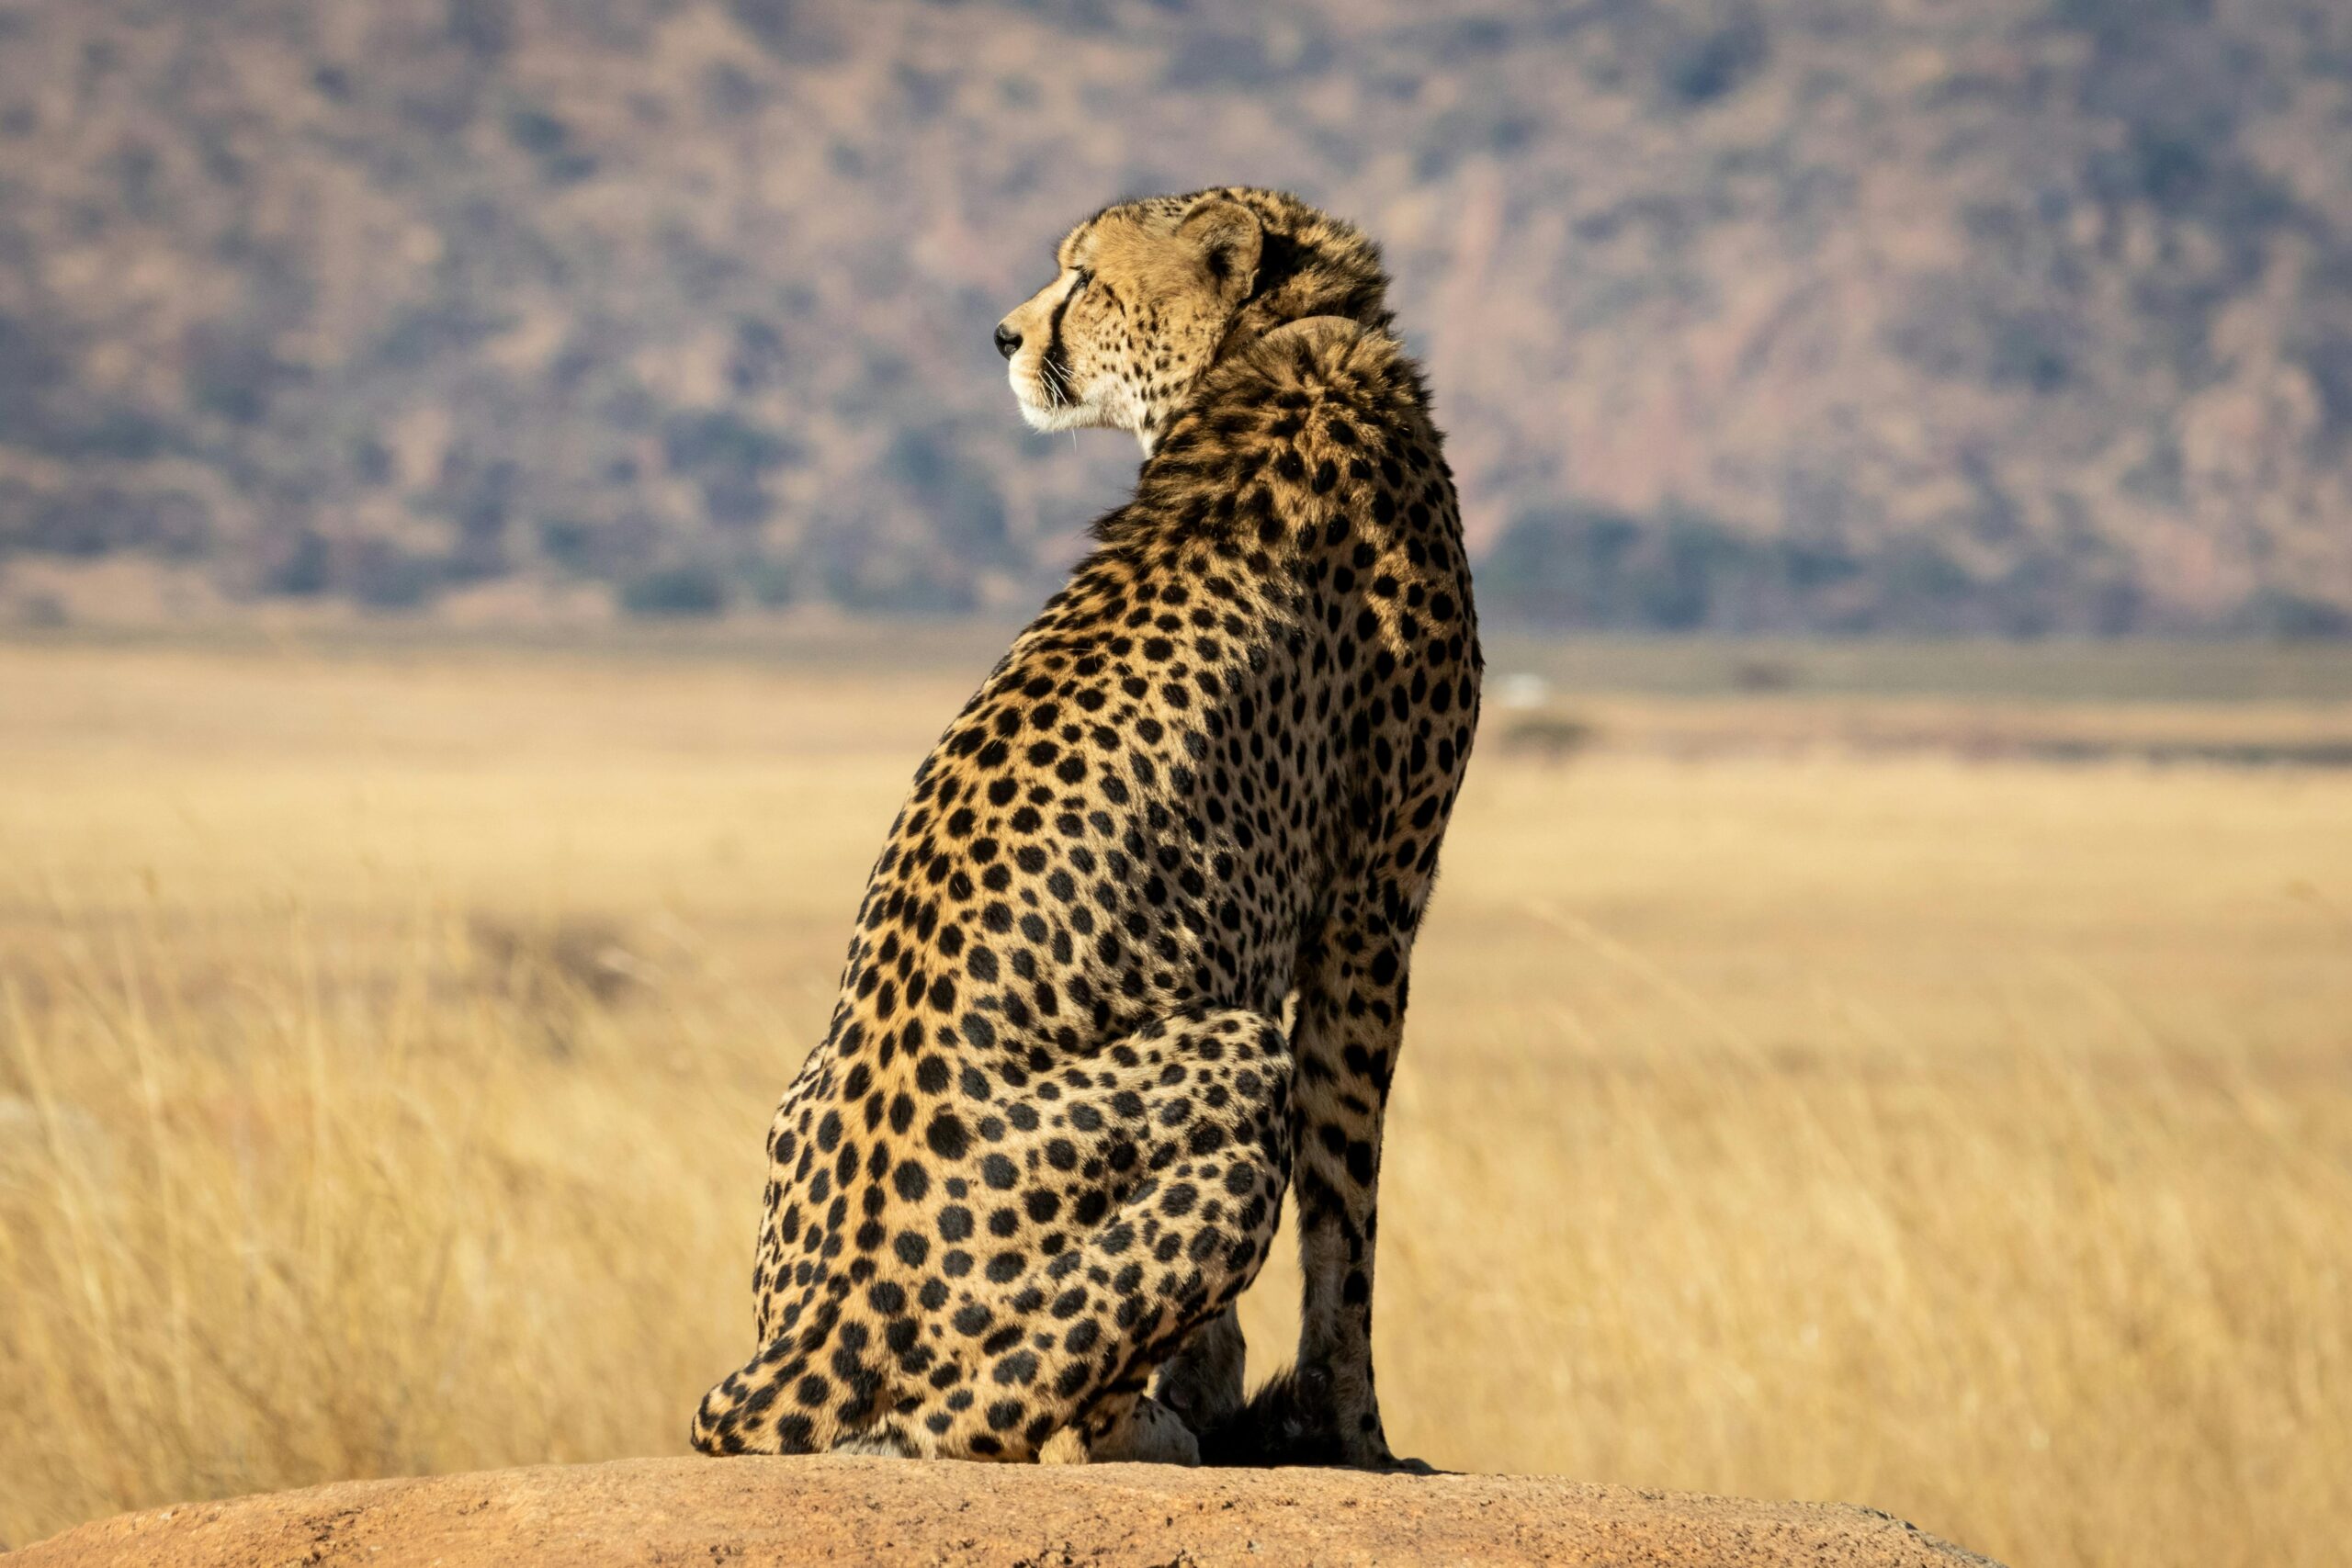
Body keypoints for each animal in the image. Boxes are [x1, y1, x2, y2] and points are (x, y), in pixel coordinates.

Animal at [690, 186, 1481, 1469]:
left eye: (1087, 278)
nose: (1002, 335)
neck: (1276, 343)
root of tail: (804, 1342)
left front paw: (1236, 1392)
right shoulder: (1373, 904)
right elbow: (1344, 1207)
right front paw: (1353, 1434)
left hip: (796, 1092)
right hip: (1231, 1051)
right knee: (989, 1424)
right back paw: (1143, 1430)